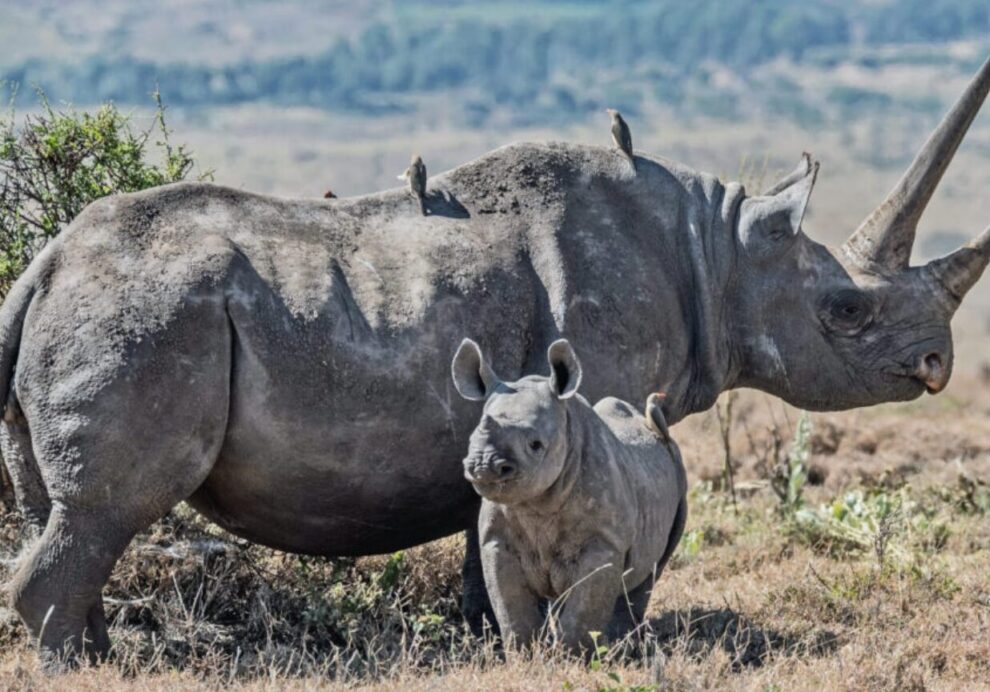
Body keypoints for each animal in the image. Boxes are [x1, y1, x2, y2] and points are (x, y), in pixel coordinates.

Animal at [454, 338, 684, 652]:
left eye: (535, 445)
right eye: (469, 440)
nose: (483, 466)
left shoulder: (604, 542)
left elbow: (583, 610)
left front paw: (572, 656)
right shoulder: (496, 540)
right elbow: (510, 607)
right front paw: (525, 654)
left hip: (678, 475)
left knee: (648, 574)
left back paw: (621, 646)